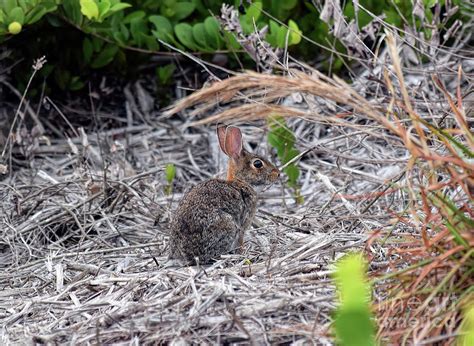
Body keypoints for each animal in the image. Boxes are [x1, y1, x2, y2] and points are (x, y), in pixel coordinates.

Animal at [169, 125, 280, 264]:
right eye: (258, 164)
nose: (277, 174)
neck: (240, 182)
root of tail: (183, 255)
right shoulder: (243, 224)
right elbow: (240, 241)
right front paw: (242, 253)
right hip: (227, 225)